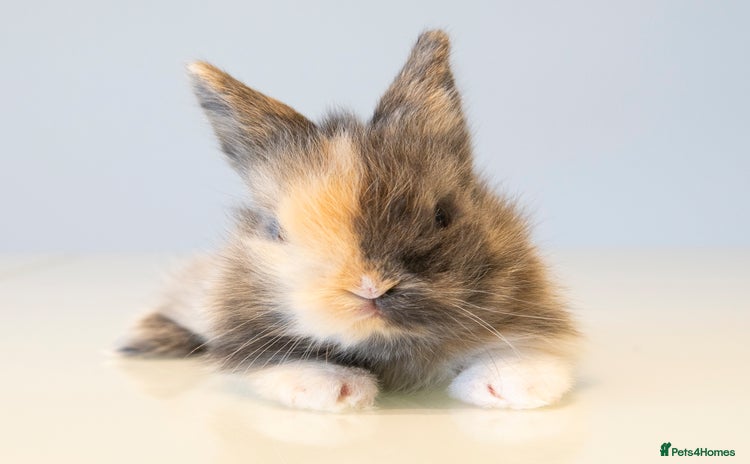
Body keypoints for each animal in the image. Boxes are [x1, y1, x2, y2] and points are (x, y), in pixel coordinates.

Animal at [119, 30, 579, 412]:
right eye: (276, 231)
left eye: (443, 214)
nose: (369, 286)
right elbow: (278, 361)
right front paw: (336, 389)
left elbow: (521, 349)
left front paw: (511, 387)